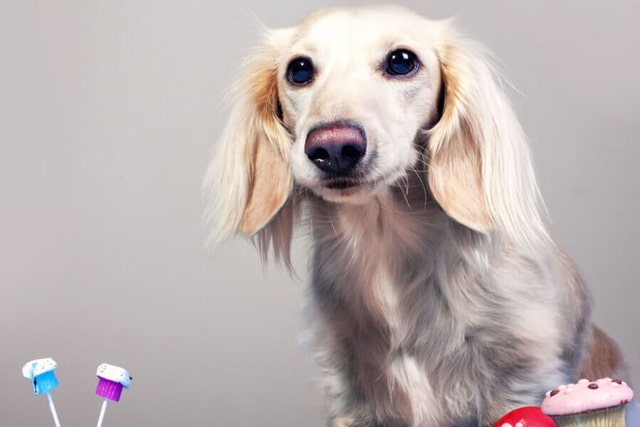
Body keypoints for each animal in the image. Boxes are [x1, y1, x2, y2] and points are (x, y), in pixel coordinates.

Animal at [205, 5, 624, 426]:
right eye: (300, 70)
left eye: (402, 61)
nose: (334, 148)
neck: (386, 254)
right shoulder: (348, 396)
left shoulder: (520, 380)